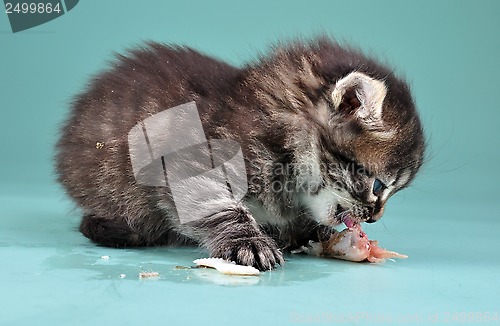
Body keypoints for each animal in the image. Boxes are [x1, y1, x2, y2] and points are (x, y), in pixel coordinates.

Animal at [57, 37, 426, 270]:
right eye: (379, 186)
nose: (375, 217)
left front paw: (308, 234)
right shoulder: (190, 161)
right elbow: (219, 207)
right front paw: (248, 242)